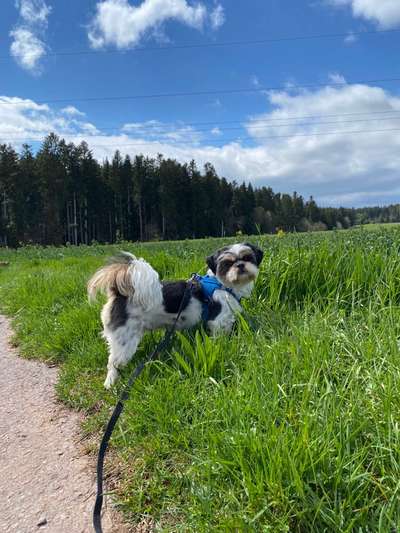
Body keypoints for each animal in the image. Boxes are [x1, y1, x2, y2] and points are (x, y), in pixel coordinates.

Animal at [87, 241, 262, 386]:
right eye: (227, 263)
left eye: (248, 258)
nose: (240, 265)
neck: (223, 285)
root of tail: (120, 293)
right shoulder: (218, 321)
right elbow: (219, 339)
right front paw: (222, 347)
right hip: (125, 340)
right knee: (113, 363)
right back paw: (110, 383)